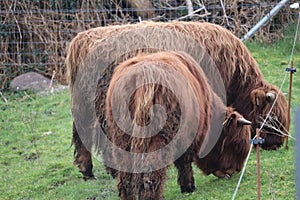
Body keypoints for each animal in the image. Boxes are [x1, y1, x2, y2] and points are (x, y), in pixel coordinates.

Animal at [104, 51, 252, 198]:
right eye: (236, 145)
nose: (234, 171)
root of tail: (144, 73)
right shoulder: (188, 137)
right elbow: (185, 162)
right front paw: (188, 187)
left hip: (121, 137)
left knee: (125, 172)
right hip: (159, 136)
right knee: (152, 168)